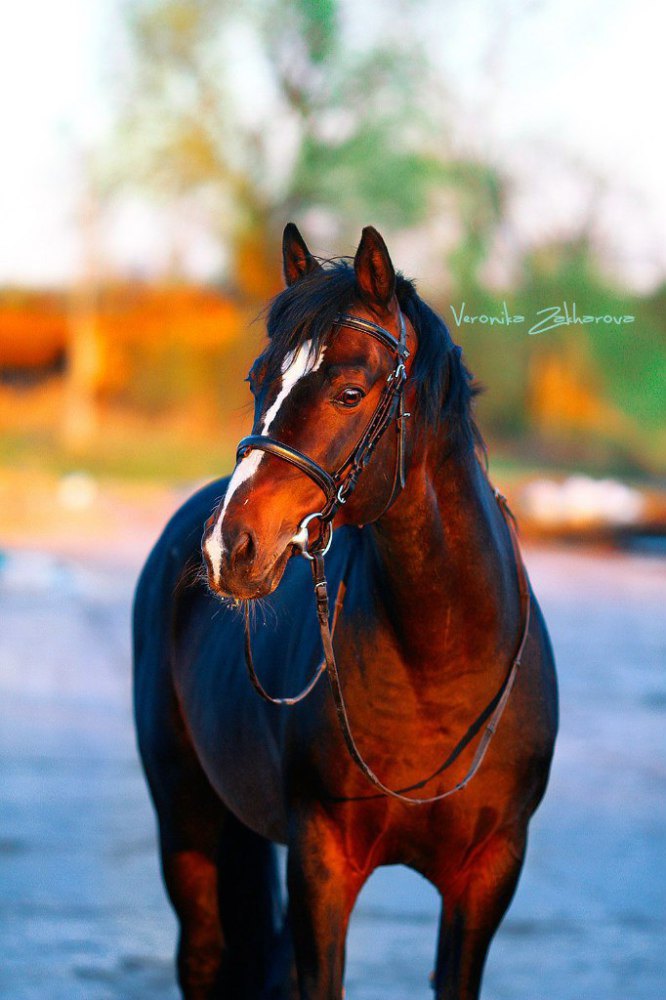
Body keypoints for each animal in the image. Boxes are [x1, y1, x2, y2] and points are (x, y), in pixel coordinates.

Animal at [134, 223, 556, 996]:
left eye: (350, 391)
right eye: (258, 381)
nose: (229, 547)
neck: (440, 661)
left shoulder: (487, 876)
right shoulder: (322, 864)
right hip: (186, 818)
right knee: (204, 954)